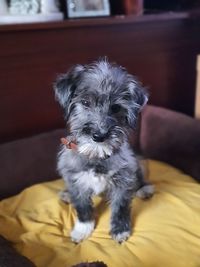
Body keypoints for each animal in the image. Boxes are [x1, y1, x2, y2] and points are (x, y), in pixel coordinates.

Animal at [54, 59, 154, 244]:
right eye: (85, 103)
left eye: (116, 108)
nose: (99, 136)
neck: (96, 155)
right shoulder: (77, 181)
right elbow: (82, 207)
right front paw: (83, 229)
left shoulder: (123, 180)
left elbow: (120, 207)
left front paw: (120, 230)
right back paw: (66, 194)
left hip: (139, 163)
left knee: (140, 179)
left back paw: (144, 189)